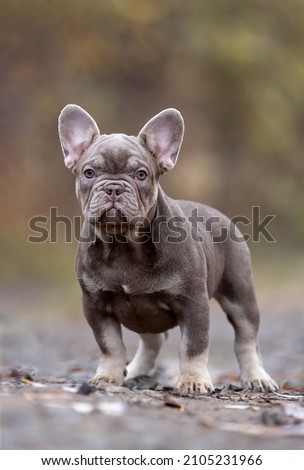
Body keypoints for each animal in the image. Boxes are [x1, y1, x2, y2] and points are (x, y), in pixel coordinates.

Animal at [57, 104, 278, 394]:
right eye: (89, 173)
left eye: (141, 175)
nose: (114, 188)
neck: (123, 245)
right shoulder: (96, 304)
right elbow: (110, 346)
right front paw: (107, 377)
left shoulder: (193, 303)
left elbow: (192, 346)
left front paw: (193, 381)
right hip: (142, 312)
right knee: (153, 340)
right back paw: (135, 371)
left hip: (239, 294)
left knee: (246, 337)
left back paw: (256, 377)